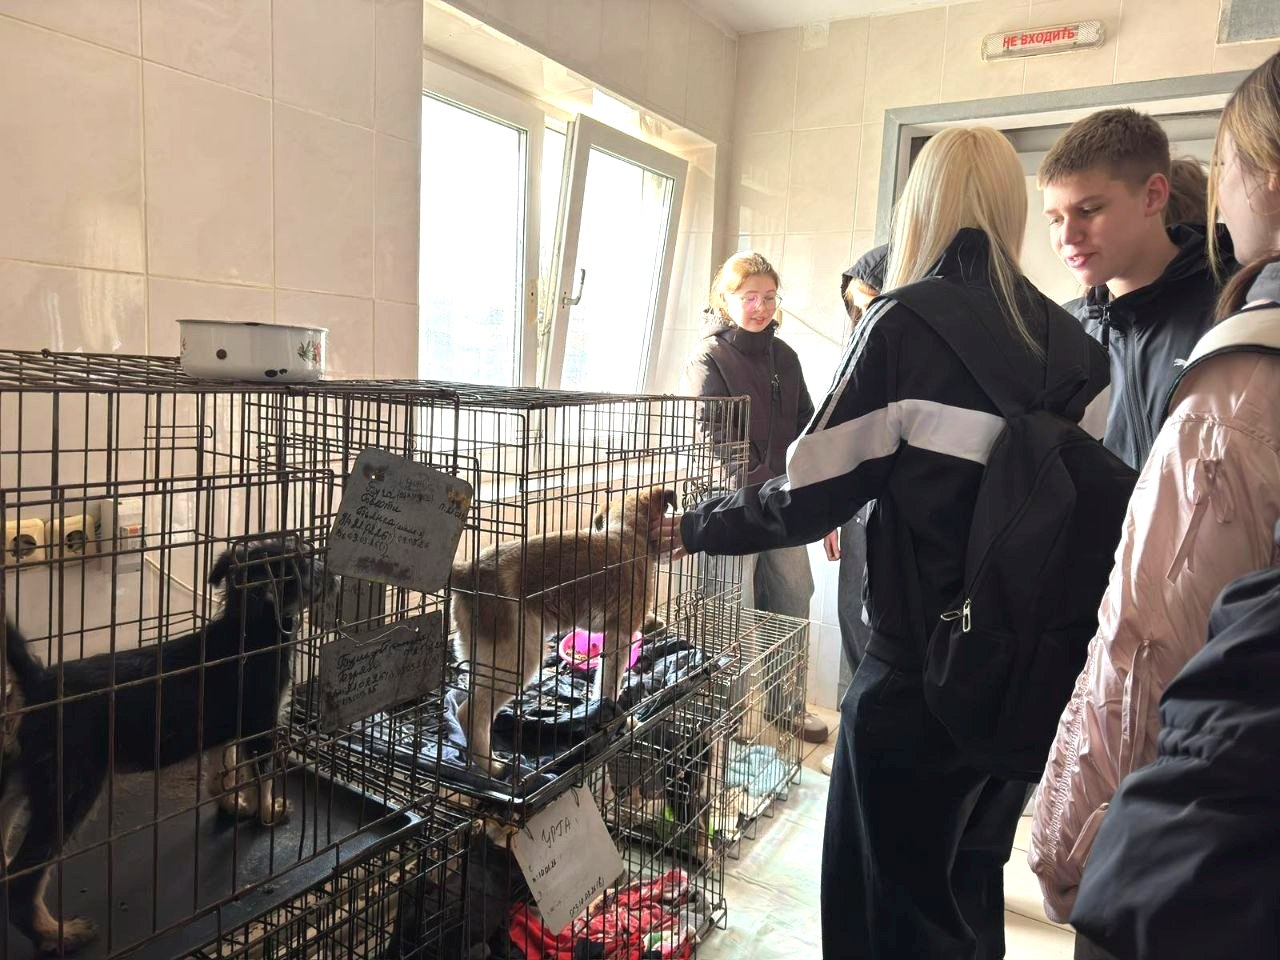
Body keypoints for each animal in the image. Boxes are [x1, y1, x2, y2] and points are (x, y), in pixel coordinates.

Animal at [0, 539, 328, 955]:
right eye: (307, 567)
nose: (333, 575)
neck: (248, 628)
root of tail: (39, 682)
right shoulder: (260, 729)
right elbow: (261, 777)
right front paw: (268, 812)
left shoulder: (226, 729)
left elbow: (223, 769)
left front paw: (232, 803)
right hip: (70, 786)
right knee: (23, 883)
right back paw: (58, 935)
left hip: (22, 767)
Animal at [450, 487, 676, 775]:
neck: (626, 532)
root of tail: (468, 573)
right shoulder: (621, 637)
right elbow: (610, 686)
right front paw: (623, 722)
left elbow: (602, 686)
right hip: (517, 657)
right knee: (470, 715)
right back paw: (494, 767)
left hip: (484, 656)